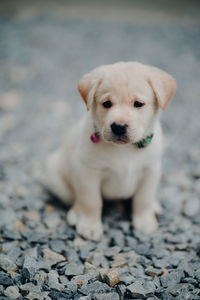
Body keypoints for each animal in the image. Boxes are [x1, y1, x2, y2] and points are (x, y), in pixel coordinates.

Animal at [45, 62, 177, 240]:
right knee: (75, 198)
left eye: (138, 104)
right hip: (55, 175)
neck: (125, 148)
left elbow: (143, 198)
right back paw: (75, 213)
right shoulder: (87, 172)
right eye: (107, 104)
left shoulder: (150, 170)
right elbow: (91, 201)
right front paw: (89, 226)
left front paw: (144, 221)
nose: (119, 126)